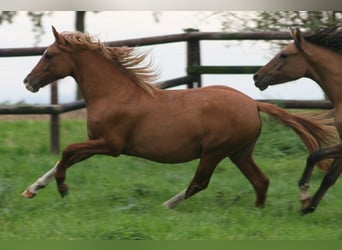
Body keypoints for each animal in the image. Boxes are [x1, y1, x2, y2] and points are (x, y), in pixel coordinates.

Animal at [20, 26, 334, 209]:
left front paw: (62, 189)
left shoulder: (111, 145)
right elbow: (64, 158)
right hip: (239, 152)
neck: (115, 93)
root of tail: (253, 103)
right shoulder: (96, 142)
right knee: (261, 181)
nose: (28, 82)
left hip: (214, 151)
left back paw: (163, 208)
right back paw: (257, 212)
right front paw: (31, 190)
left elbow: (66, 151)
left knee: (199, 183)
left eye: (48, 55)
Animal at [254, 25, 342, 214]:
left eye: (284, 55)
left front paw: (304, 195)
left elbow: (314, 155)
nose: (256, 77)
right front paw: (308, 208)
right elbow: (329, 177)